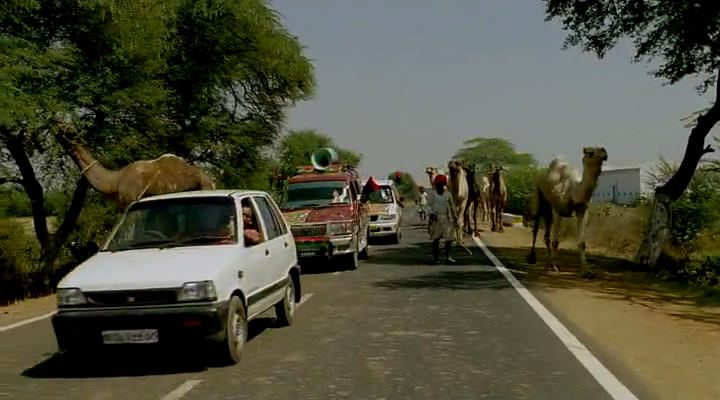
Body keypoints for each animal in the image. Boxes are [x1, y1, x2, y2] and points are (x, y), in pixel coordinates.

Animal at [53, 122, 214, 209]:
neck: (114, 182)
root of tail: (211, 179)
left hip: (204, 186)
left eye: (66, 128)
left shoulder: (129, 201)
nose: (55, 122)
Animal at [524, 147, 608, 278]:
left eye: (603, 149)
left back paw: (549, 261)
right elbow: (556, 241)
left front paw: (587, 271)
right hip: (538, 196)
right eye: (590, 152)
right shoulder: (557, 210)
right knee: (536, 228)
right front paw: (554, 267)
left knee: (546, 236)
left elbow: (582, 243)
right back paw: (533, 258)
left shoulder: (582, 211)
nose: (605, 153)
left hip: (548, 211)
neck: (574, 190)